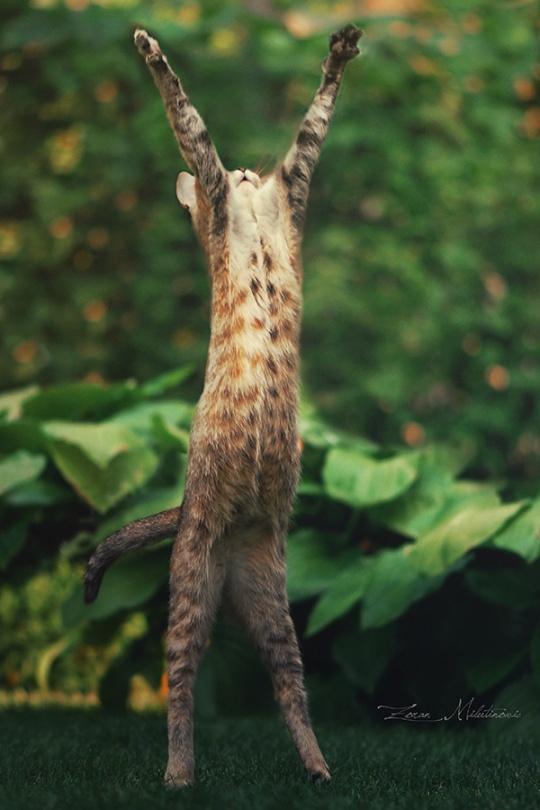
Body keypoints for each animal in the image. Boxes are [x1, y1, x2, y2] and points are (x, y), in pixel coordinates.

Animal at [84, 22, 360, 784]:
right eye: (234, 175)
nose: (243, 173)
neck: (255, 216)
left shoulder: (293, 185)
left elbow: (313, 122)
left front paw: (339, 54)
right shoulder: (219, 176)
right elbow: (187, 117)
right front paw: (149, 48)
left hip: (273, 606)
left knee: (290, 686)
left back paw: (318, 766)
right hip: (189, 592)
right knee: (180, 687)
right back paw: (179, 772)